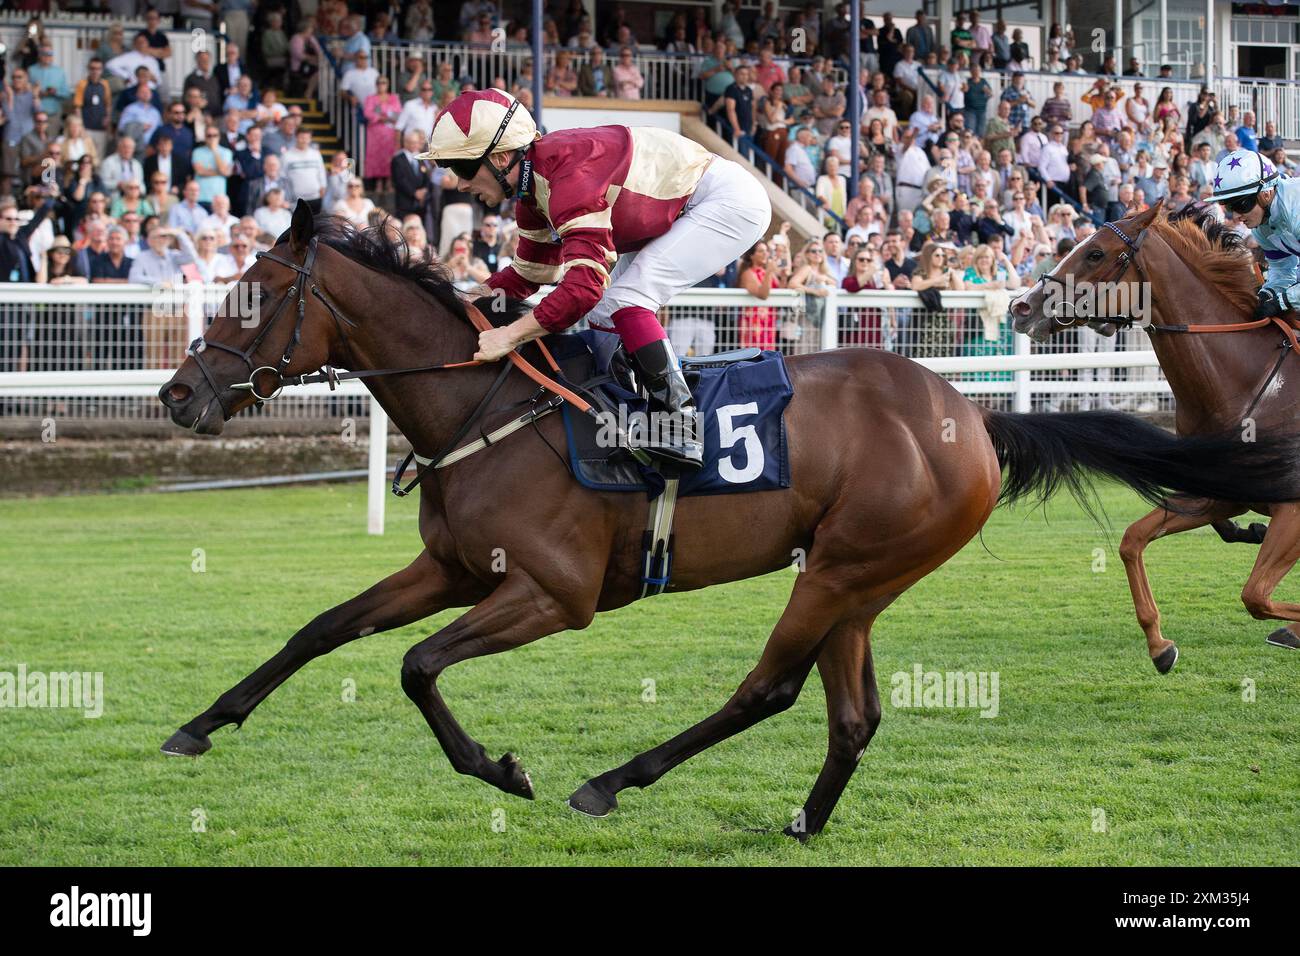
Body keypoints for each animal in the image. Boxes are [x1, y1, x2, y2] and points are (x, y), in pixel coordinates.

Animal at [1013, 197, 1300, 671]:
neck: (1248, 383)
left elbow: (1255, 596)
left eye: (1096, 253)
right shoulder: (1217, 493)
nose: (1022, 306)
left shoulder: (1291, 508)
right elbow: (1132, 540)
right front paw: (1159, 644)